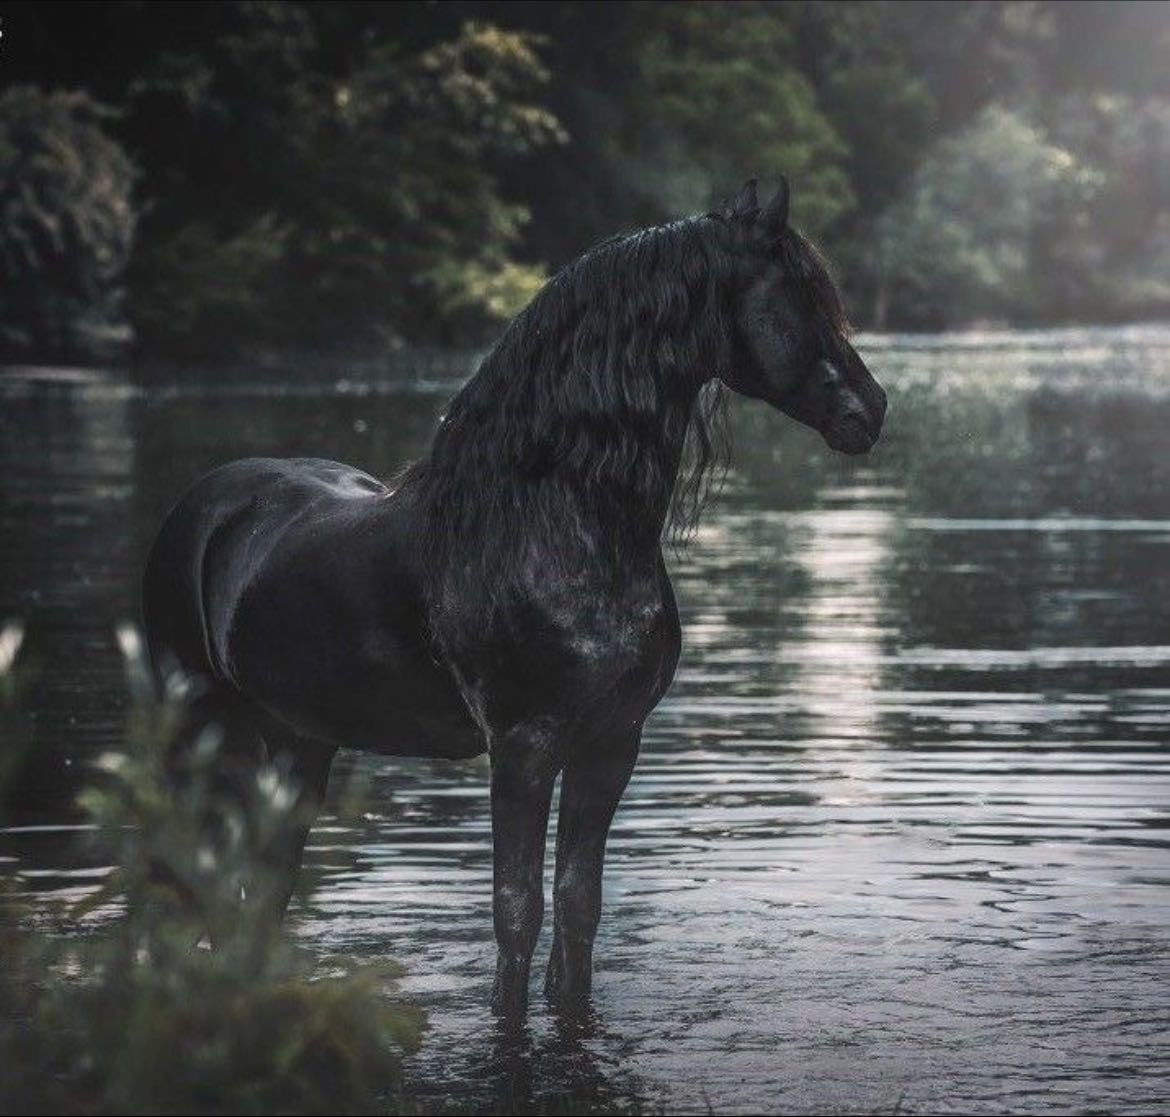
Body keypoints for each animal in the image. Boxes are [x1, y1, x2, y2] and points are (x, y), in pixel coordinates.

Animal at [141, 178, 887, 1017]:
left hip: (299, 745)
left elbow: (578, 906)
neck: (555, 518)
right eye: (800, 296)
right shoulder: (524, 748)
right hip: (197, 738)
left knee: (266, 888)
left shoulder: (611, 741)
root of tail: (207, 504)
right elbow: (516, 912)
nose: (872, 409)